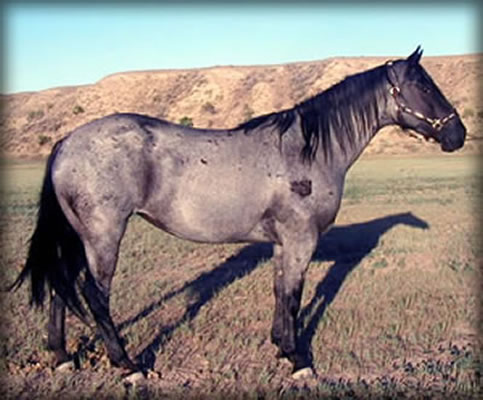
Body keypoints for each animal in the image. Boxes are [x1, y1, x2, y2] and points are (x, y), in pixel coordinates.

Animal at [9, 47, 466, 378]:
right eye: (424, 86)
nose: (458, 134)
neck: (305, 150)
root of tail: (67, 141)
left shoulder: (284, 244)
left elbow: (281, 293)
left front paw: (282, 349)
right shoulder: (301, 240)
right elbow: (295, 297)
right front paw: (300, 362)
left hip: (79, 237)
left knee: (61, 286)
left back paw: (62, 358)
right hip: (103, 236)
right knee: (95, 295)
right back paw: (128, 365)